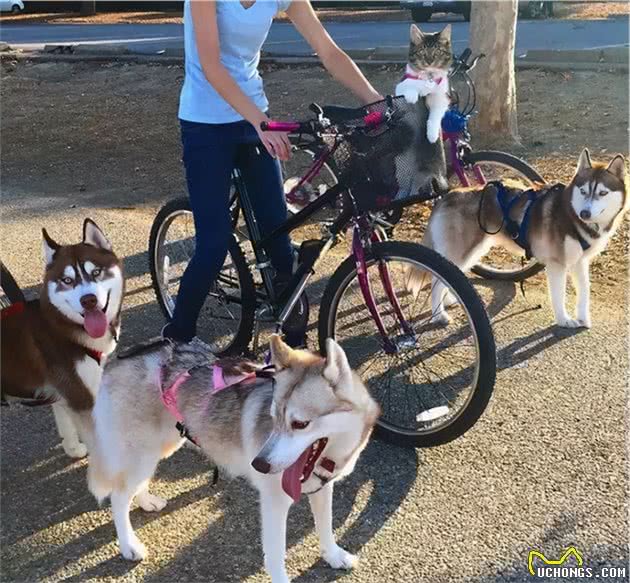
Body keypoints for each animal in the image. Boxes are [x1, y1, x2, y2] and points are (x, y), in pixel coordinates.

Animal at [0, 221, 123, 458]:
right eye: (67, 280)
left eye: (96, 272)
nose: (88, 300)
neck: (63, 327)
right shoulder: (82, 397)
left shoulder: (65, 395)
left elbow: (67, 426)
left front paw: (73, 449)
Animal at [88, 336, 380, 580]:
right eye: (273, 418)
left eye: (300, 424)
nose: (259, 464)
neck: (328, 457)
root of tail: (119, 358)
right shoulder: (274, 503)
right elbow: (276, 555)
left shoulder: (323, 488)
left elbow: (326, 525)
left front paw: (333, 555)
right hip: (142, 451)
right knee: (118, 495)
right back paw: (128, 544)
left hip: (160, 445)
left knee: (134, 485)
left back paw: (146, 500)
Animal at [408, 151, 628, 328]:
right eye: (583, 191)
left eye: (602, 193)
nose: (585, 213)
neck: (570, 214)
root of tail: (447, 196)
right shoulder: (557, 265)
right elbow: (559, 296)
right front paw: (564, 320)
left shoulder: (580, 262)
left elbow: (584, 291)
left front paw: (583, 318)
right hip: (462, 251)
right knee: (436, 281)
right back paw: (439, 315)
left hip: (472, 252)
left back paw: (447, 300)